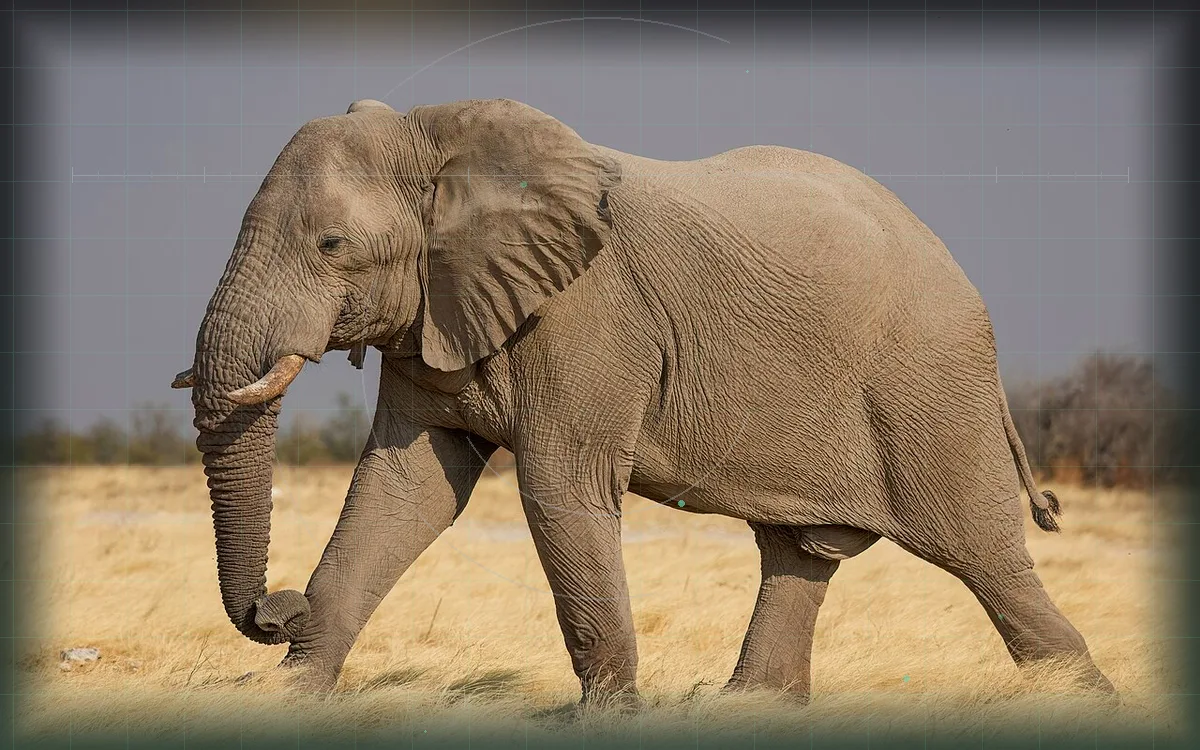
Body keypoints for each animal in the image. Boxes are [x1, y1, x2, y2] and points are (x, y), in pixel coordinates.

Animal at [172, 97, 1114, 705]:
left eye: (332, 245)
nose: (276, 607)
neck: (441, 133)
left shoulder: (589, 315)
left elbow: (558, 489)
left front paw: (607, 719)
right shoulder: (436, 310)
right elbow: (405, 491)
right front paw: (289, 698)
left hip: (929, 385)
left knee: (986, 559)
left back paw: (1084, 700)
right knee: (800, 553)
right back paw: (748, 710)